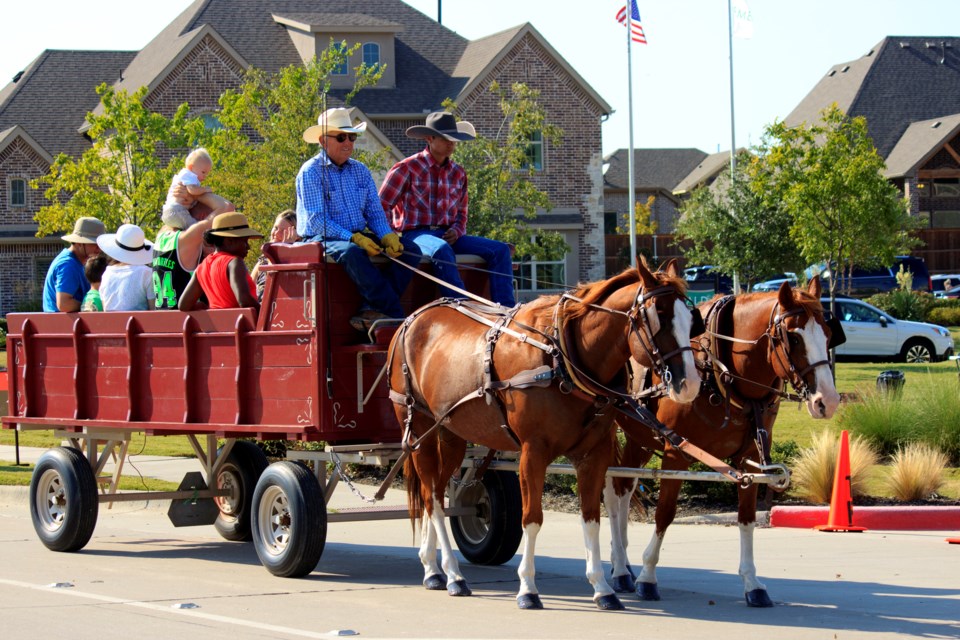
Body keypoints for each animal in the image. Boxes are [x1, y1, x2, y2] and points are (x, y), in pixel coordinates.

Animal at [388, 260, 696, 608]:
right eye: (659, 316)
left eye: (690, 320)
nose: (690, 384)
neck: (563, 357)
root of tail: (413, 318)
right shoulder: (533, 452)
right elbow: (532, 518)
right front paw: (528, 589)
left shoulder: (593, 454)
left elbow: (591, 518)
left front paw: (602, 588)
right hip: (418, 426)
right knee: (431, 497)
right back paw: (453, 574)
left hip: (452, 433)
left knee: (435, 493)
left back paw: (432, 567)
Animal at [608, 278, 840, 604]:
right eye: (794, 338)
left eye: (829, 334)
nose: (827, 401)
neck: (719, 372)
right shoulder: (676, 454)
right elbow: (665, 513)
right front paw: (648, 576)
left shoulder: (748, 460)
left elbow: (746, 517)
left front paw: (752, 582)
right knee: (612, 491)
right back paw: (620, 569)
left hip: (638, 437)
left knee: (622, 489)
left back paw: (622, 565)